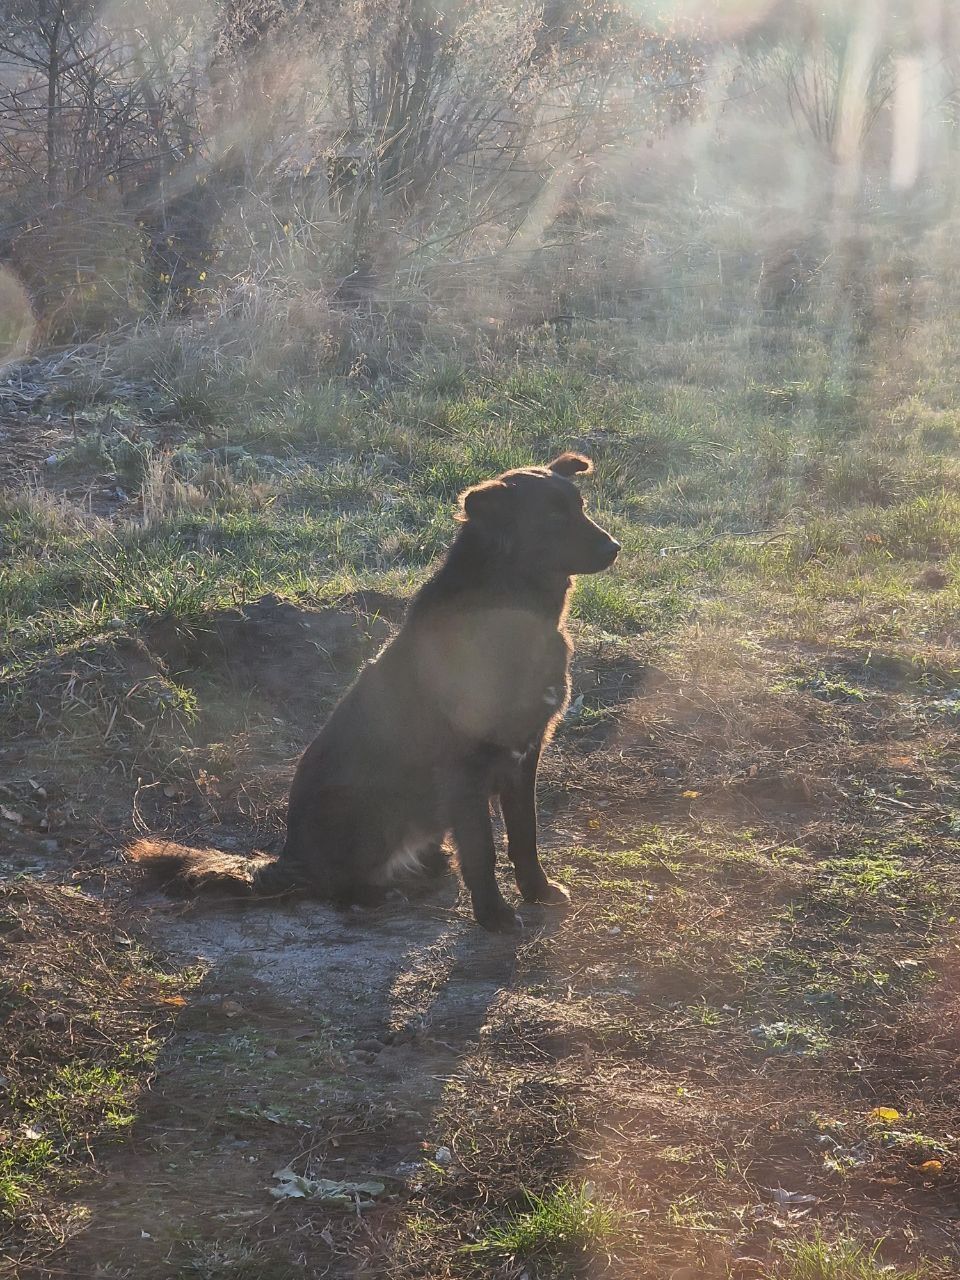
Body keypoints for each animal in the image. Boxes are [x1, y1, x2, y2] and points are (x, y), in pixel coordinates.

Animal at [131, 453, 619, 931]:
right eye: (551, 518)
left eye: (580, 508)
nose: (615, 547)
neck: (510, 609)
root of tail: (289, 859)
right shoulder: (465, 767)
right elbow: (483, 849)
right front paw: (493, 914)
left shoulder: (525, 755)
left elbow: (525, 835)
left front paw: (537, 890)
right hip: (374, 808)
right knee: (336, 886)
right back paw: (377, 894)